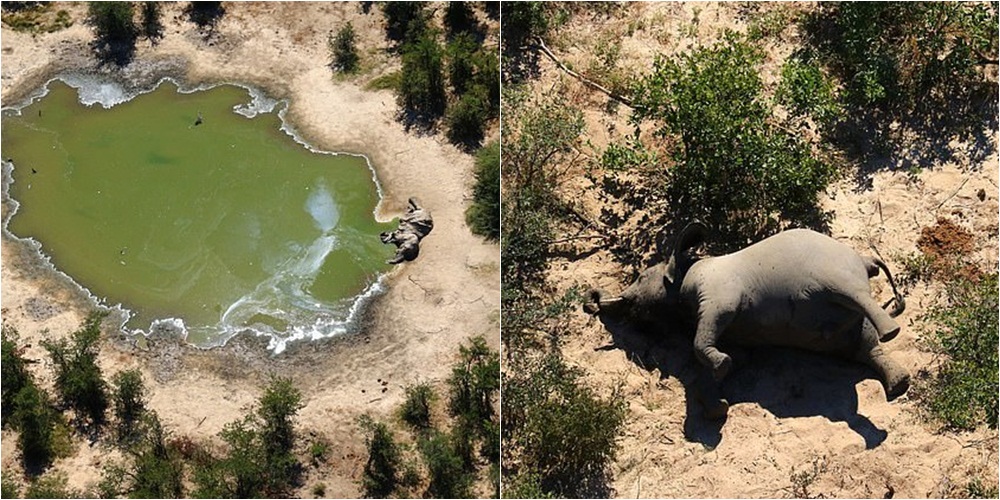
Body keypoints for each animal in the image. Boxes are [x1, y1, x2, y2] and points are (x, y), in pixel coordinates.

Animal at [584, 223, 912, 418]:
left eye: (640, 277)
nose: (591, 303)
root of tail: (865, 260)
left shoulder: (718, 293)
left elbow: (703, 337)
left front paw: (720, 367)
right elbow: (737, 357)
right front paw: (717, 403)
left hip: (837, 273)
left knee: (856, 297)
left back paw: (892, 333)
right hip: (845, 325)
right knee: (864, 347)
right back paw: (899, 384)